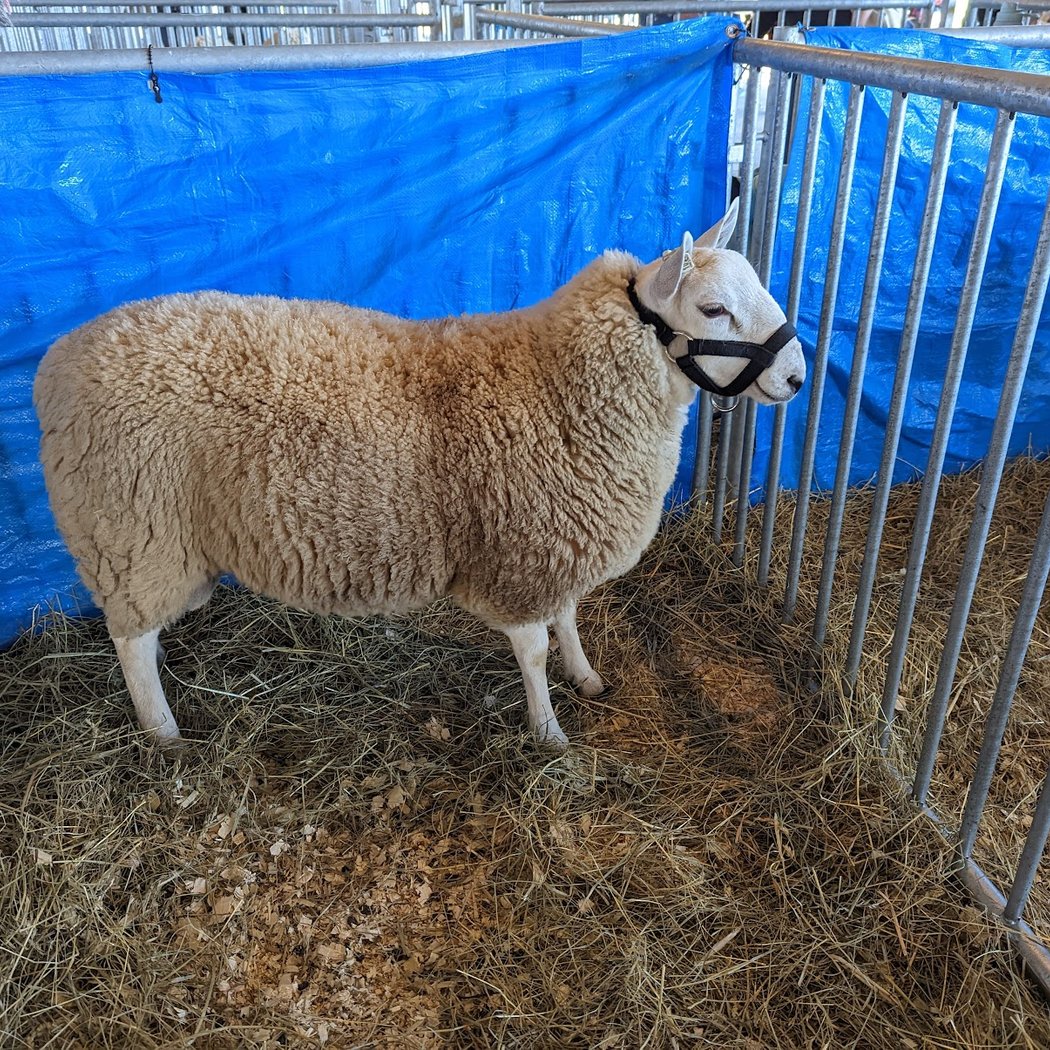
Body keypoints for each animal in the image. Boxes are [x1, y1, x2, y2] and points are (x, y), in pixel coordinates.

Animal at [33, 201, 805, 749]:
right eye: (713, 309)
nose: (798, 377)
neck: (559, 385)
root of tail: (55, 364)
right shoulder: (520, 553)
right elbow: (532, 649)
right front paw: (548, 732)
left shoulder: (554, 542)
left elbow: (568, 618)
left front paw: (585, 676)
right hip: (132, 535)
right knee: (131, 644)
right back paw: (165, 734)